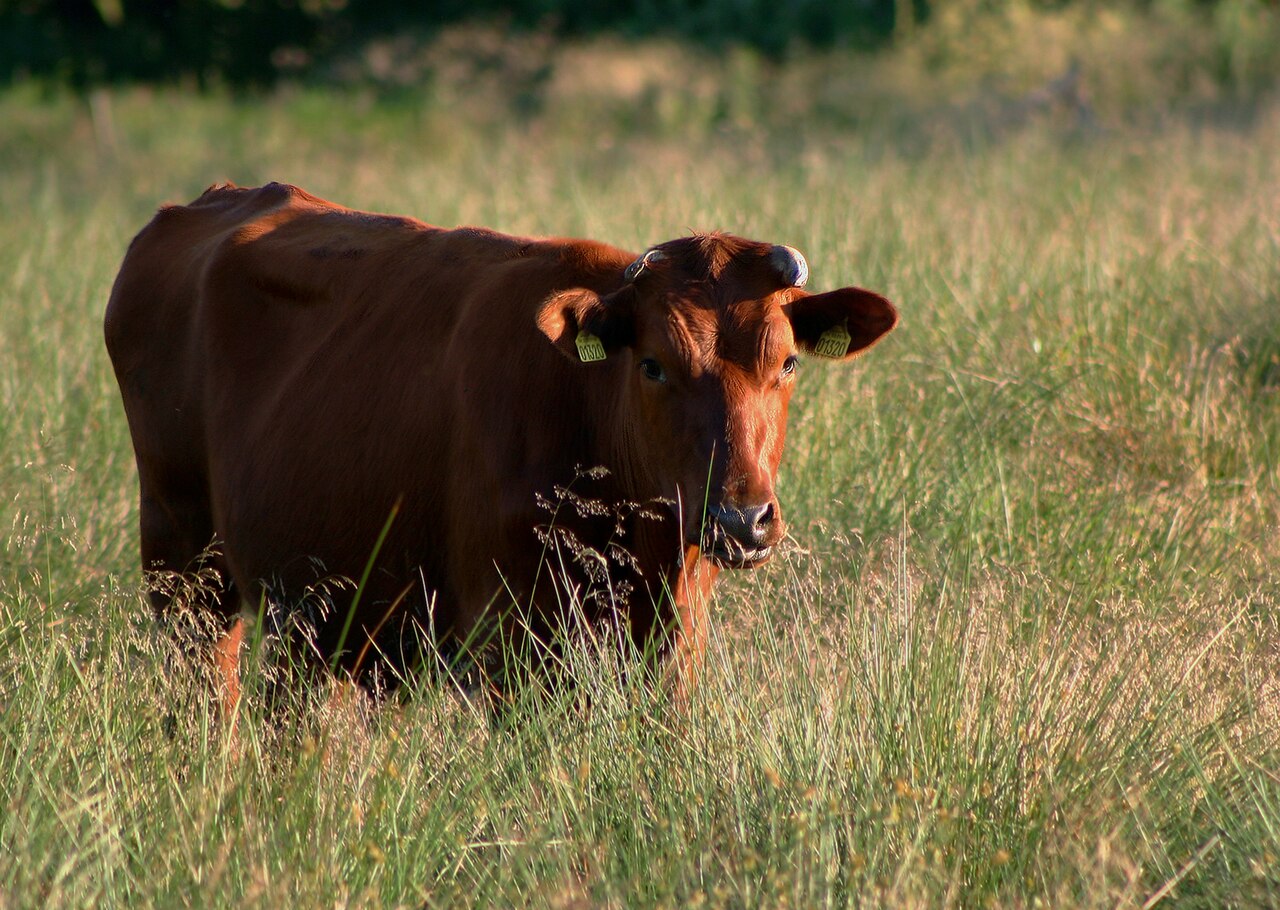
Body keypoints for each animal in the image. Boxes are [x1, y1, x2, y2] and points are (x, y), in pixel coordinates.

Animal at [104, 182, 897, 713]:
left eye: (787, 362)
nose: (741, 519)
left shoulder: (675, 634)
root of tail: (218, 201)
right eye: (652, 365)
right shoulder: (511, 638)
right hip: (185, 564)